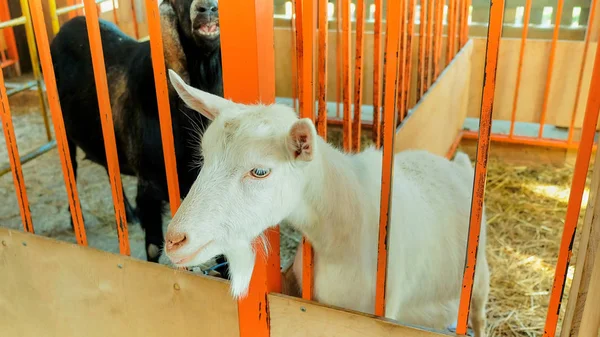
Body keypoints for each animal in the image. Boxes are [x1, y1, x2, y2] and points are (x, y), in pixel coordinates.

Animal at [51, 0, 230, 276]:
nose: (207, 8)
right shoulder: (150, 185)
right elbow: (154, 249)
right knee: (71, 167)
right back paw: (75, 219)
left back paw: (126, 213)